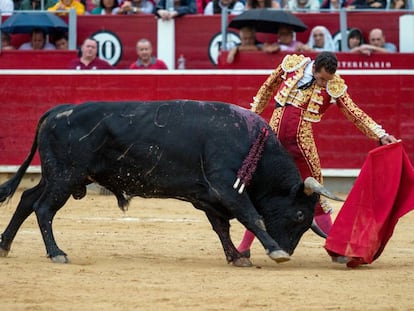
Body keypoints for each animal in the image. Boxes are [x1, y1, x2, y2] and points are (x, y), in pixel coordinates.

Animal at [0, 101, 336, 266]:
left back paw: (4, 245)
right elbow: (252, 217)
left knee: (27, 199)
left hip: (59, 176)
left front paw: (236, 257)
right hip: (65, 176)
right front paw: (272, 251)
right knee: (43, 209)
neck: (254, 144)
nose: (288, 250)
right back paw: (57, 253)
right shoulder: (226, 188)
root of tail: (56, 111)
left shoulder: (208, 196)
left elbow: (222, 227)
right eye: (300, 215)